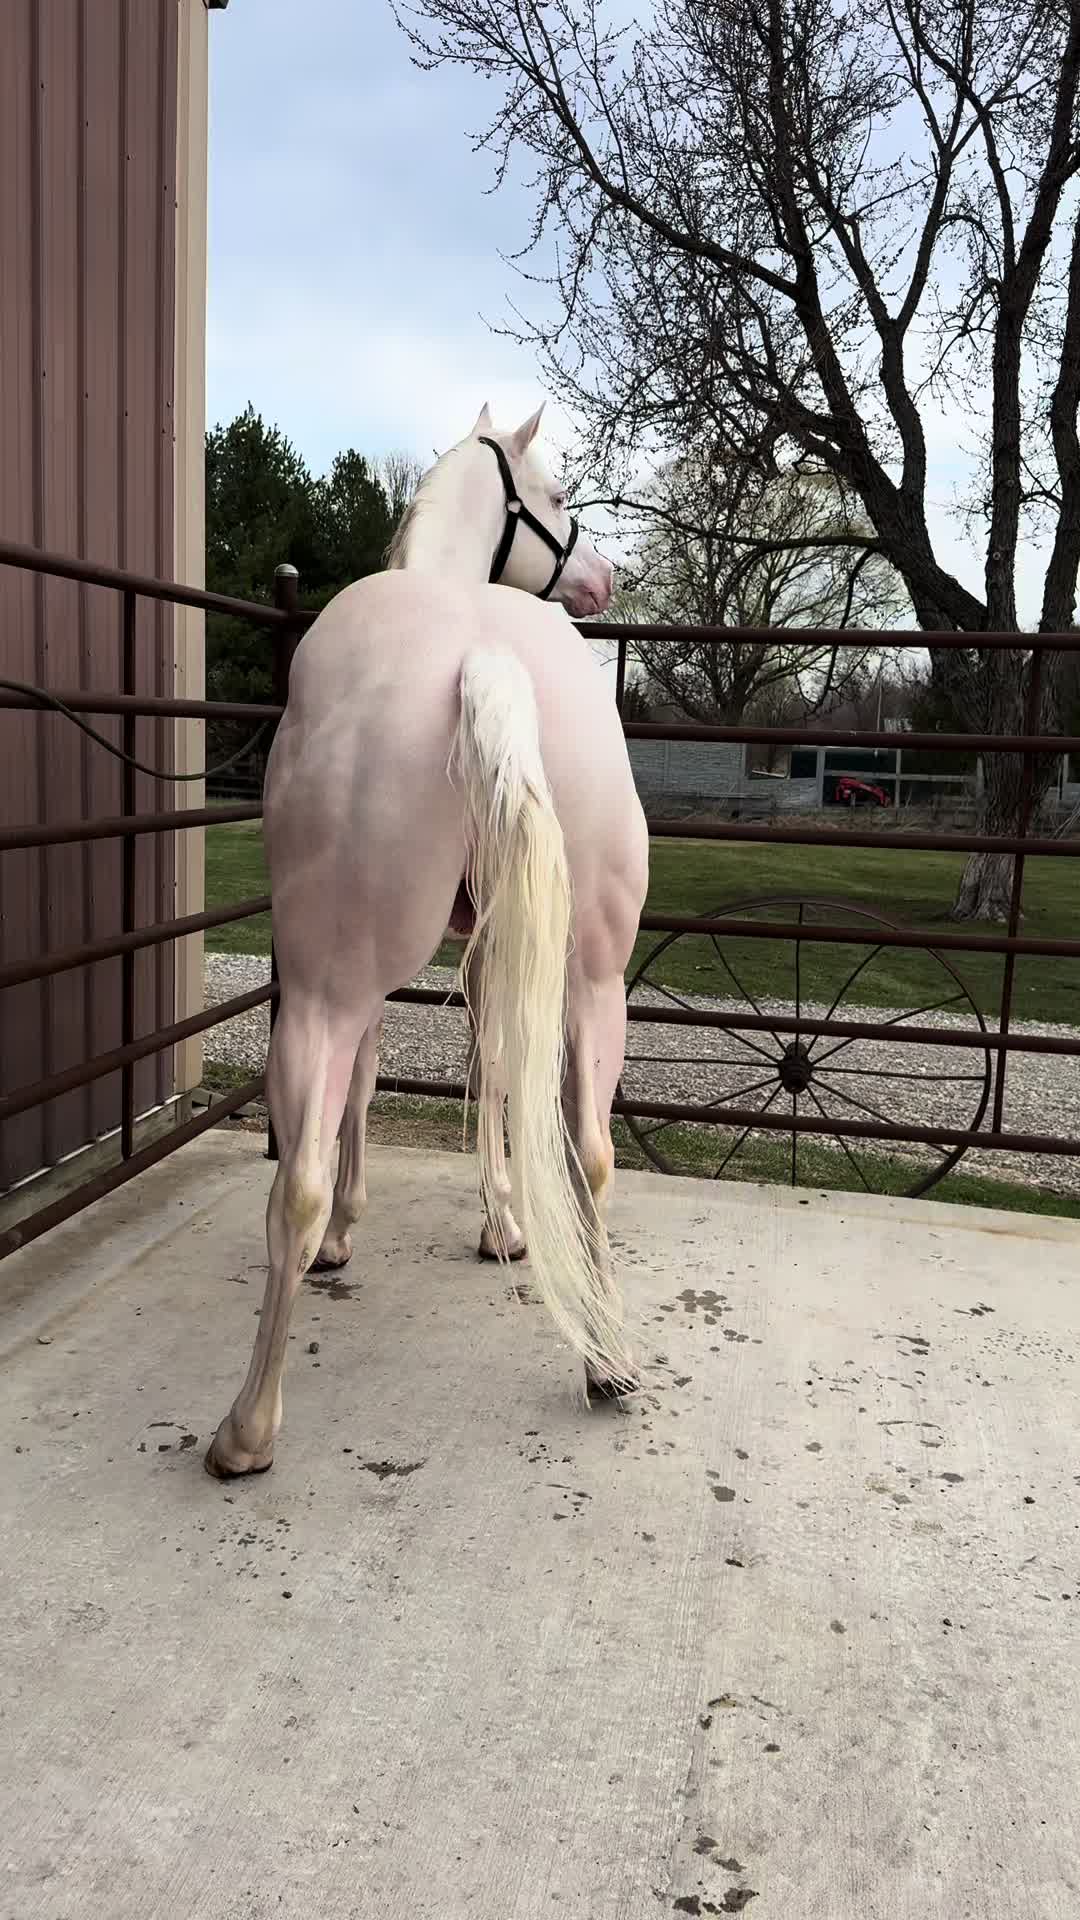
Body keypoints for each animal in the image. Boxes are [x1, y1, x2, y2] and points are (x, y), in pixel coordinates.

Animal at [205, 402, 650, 1479]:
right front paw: (504, 1225)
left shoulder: (371, 983)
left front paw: (365, 1231)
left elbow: (371, 1091)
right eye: (559, 495)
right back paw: (606, 1362)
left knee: (296, 1184)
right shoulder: (497, 947)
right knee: (590, 1150)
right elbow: (494, 1074)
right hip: (595, 978)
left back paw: (247, 1430)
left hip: (320, 989)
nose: (606, 579)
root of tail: (480, 658)